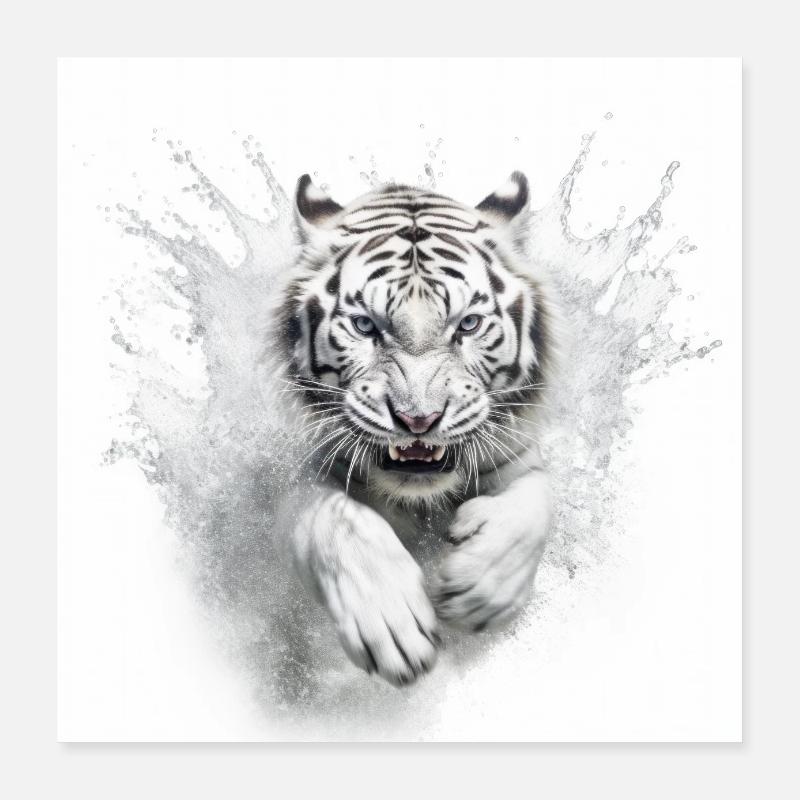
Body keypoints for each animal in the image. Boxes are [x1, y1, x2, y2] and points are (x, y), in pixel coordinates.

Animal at [273, 171, 556, 687]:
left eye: (468, 324)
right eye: (365, 326)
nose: (418, 419)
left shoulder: (517, 454)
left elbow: (536, 503)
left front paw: (477, 590)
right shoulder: (304, 470)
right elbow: (334, 521)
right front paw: (389, 619)